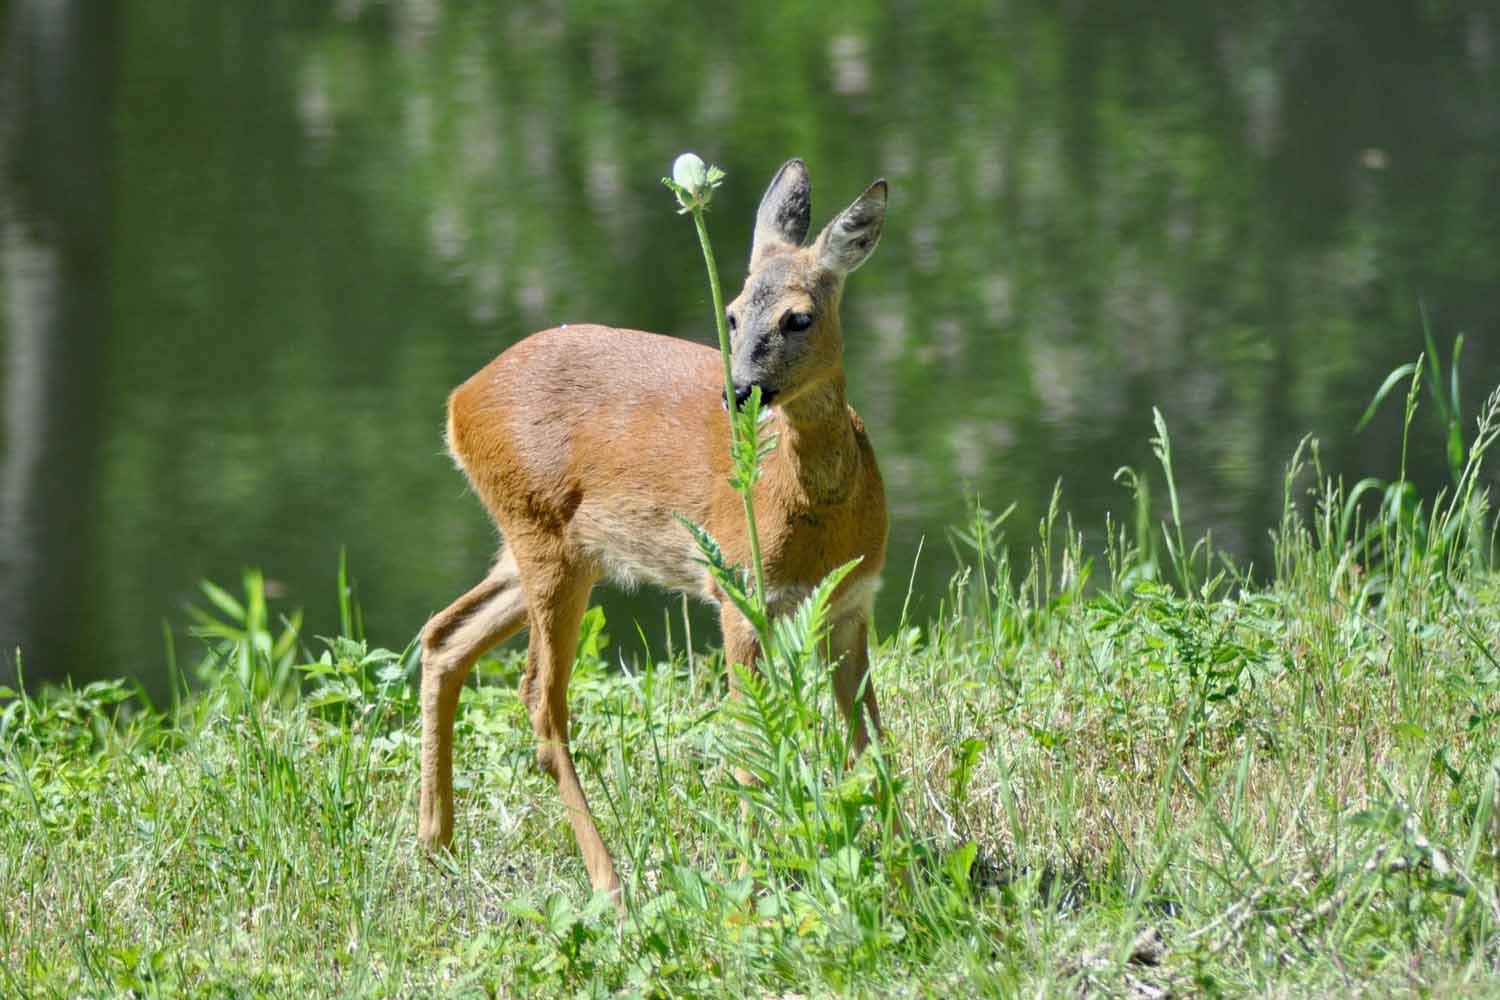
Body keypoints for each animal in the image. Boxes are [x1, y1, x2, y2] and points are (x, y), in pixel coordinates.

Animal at [417, 158, 889, 899]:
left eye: (799, 317)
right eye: (731, 313)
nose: (739, 390)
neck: (819, 513)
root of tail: (459, 403)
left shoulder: (853, 600)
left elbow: (871, 739)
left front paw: (907, 853)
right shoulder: (740, 592)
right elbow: (749, 738)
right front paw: (751, 876)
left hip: (549, 546)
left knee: (445, 636)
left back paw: (435, 845)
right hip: (543, 534)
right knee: (540, 701)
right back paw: (610, 884)